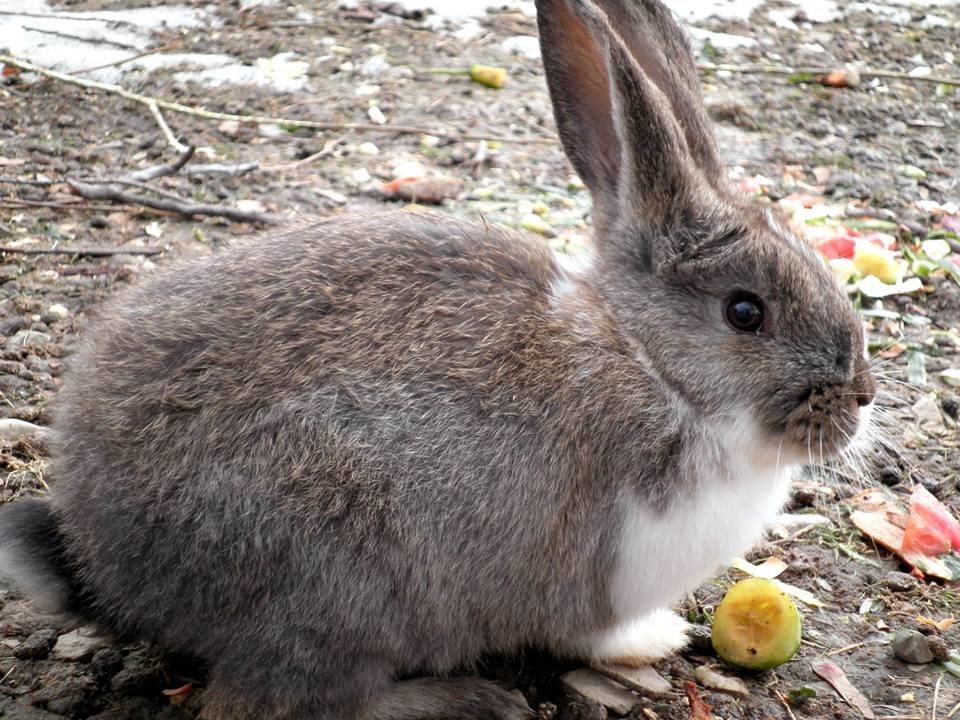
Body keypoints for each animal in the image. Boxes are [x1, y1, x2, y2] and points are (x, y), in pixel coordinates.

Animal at [0, 1, 872, 720]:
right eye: (745, 312)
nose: (860, 398)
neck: (651, 363)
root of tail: (109, 563)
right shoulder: (596, 567)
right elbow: (587, 628)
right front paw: (651, 643)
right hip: (337, 581)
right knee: (281, 703)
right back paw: (467, 701)